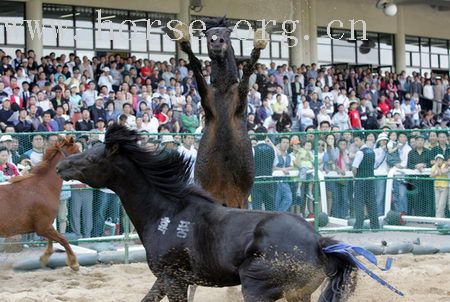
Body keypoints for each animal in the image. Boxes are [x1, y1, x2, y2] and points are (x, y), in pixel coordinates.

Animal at [0, 136, 80, 270]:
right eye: (78, 152)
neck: (44, 186)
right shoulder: (43, 227)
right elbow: (63, 239)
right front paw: (74, 263)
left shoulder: (45, 226)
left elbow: (52, 241)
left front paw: (44, 257)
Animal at [176, 17, 268, 210]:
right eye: (207, 33)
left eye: (228, 32)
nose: (216, 42)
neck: (224, 89)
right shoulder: (206, 96)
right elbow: (195, 68)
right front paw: (186, 45)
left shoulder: (240, 98)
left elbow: (247, 71)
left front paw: (256, 50)